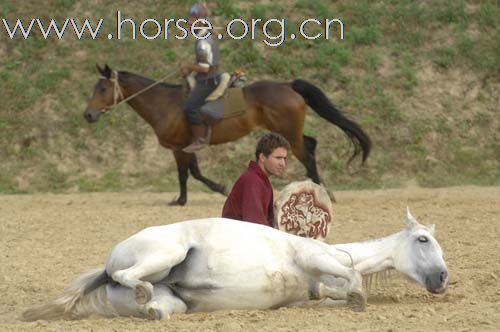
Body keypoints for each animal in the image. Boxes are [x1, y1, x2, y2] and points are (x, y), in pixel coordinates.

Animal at [21, 209, 448, 320]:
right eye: (423, 240)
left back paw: (151, 308)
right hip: (165, 254)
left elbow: (329, 293)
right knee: (131, 276)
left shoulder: (307, 294)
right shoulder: (311, 255)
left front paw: (349, 296)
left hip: (169, 301)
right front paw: (358, 295)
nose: (443, 277)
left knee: (158, 308)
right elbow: (352, 274)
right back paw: (141, 290)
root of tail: (106, 268)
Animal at [83, 64, 372, 205]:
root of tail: (288, 85)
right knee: (311, 145)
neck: (164, 103)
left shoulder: (178, 147)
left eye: (102, 88)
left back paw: (323, 192)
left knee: (307, 155)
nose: (88, 115)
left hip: (288, 132)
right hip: (290, 132)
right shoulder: (188, 146)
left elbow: (186, 174)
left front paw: (189, 198)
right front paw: (195, 195)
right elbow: (194, 172)